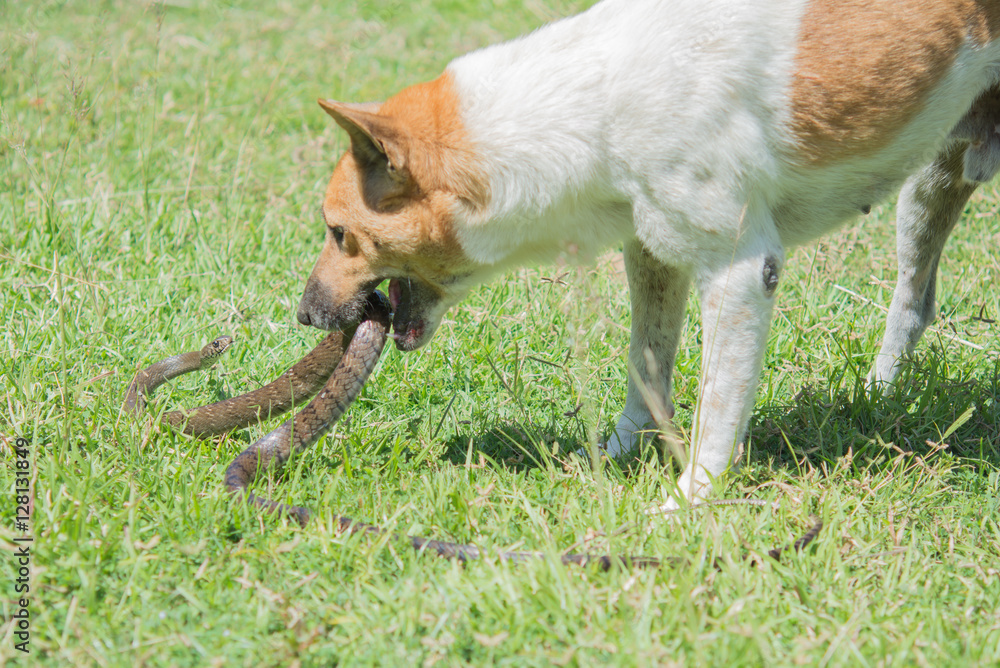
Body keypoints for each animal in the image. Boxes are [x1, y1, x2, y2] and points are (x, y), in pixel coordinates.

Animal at [294, 0, 1000, 506]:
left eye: (337, 233)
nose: (304, 315)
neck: (596, 101)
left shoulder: (741, 273)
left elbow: (718, 405)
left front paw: (690, 501)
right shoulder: (652, 252)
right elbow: (647, 360)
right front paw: (619, 450)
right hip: (932, 182)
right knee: (915, 302)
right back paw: (879, 394)